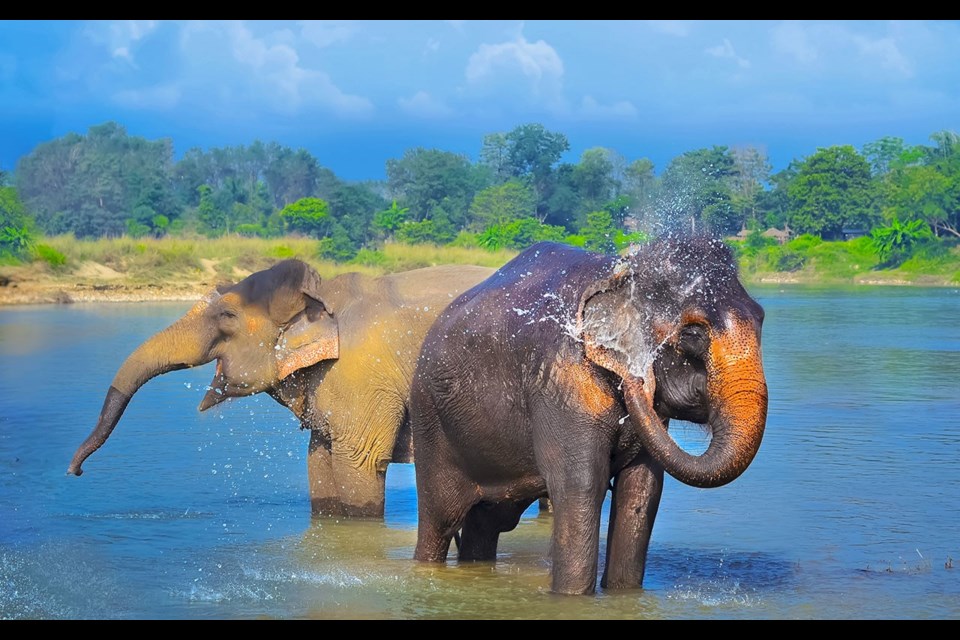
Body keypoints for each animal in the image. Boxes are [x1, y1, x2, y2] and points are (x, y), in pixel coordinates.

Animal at [65, 258, 496, 516]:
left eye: (227, 316)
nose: (75, 472)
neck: (322, 296)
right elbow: (318, 460)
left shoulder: (364, 375)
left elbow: (360, 463)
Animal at [408, 235, 768, 596]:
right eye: (693, 335)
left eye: (761, 319)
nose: (637, 379)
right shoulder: (563, 384)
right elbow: (581, 484)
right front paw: (572, 599)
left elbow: (641, 490)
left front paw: (623, 595)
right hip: (430, 422)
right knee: (440, 521)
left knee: (488, 522)